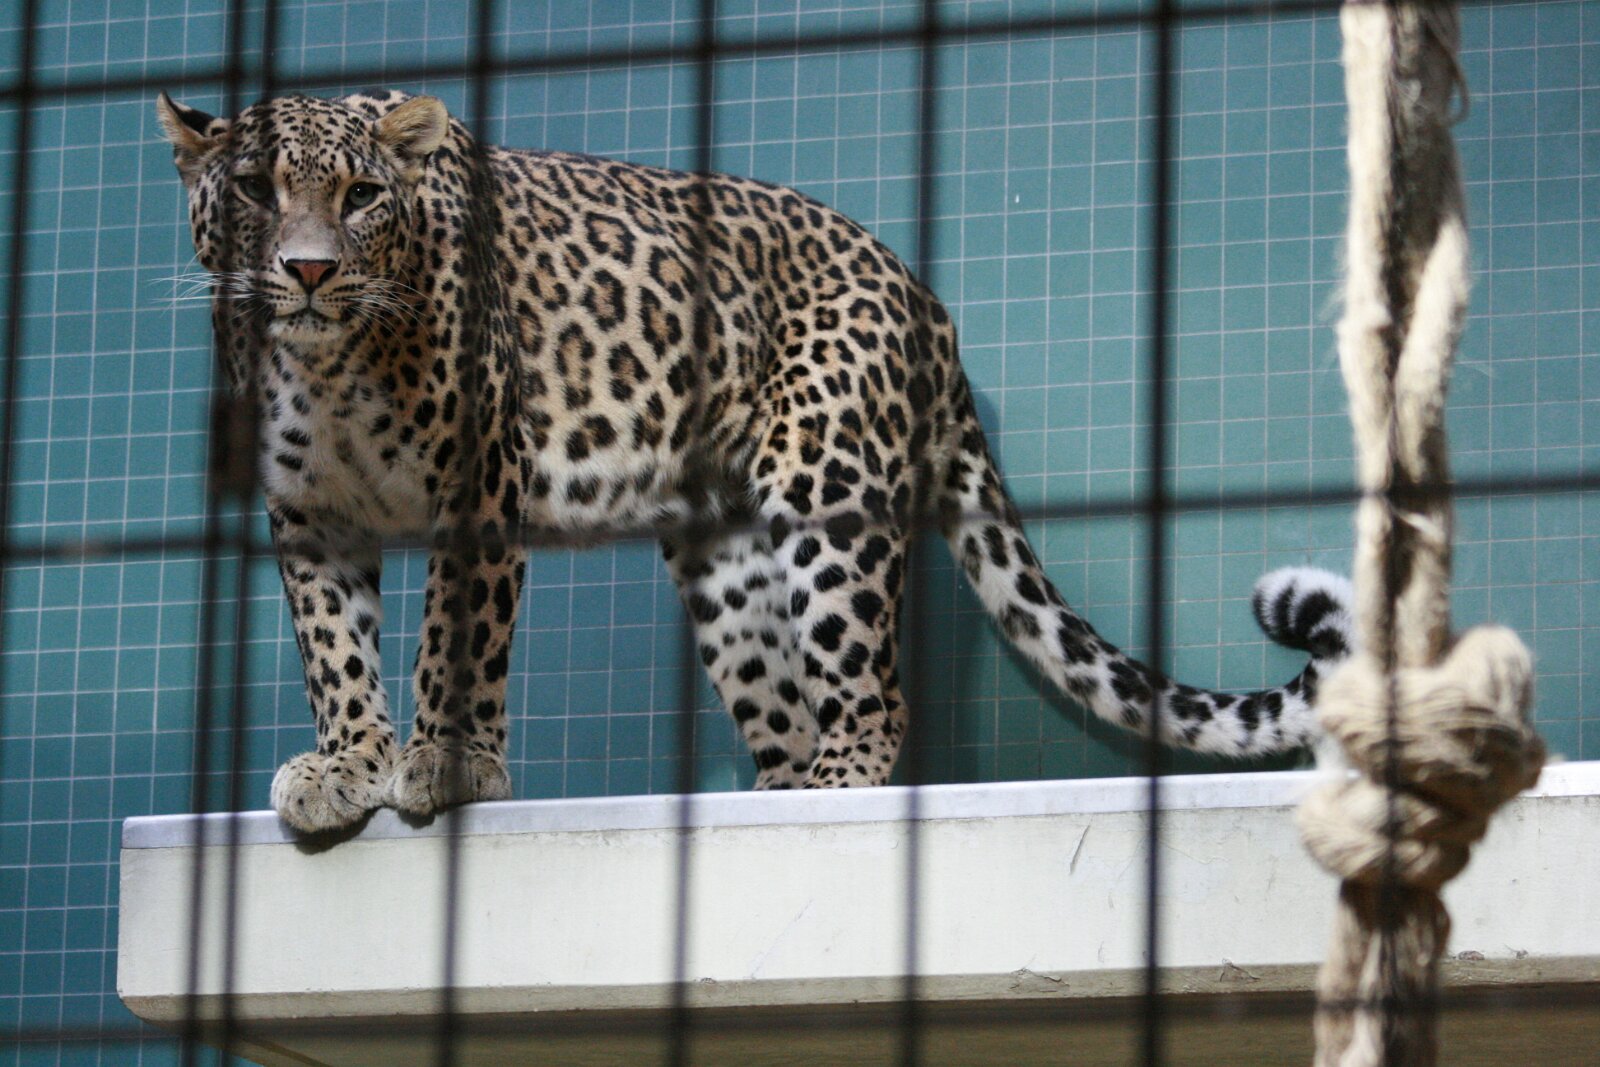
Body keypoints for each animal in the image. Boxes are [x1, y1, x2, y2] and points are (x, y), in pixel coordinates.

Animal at [156, 89, 1354, 834]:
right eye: (257, 191)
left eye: (362, 197)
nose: (308, 272)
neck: (332, 364)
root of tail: (926, 300)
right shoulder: (309, 514)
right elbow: (333, 648)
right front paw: (349, 763)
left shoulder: (480, 480)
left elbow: (457, 639)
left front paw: (446, 764)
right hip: (725, 564)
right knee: (784, 703)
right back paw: (764, 803)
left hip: (829, 492)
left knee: (874, 700)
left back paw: (833, 790)